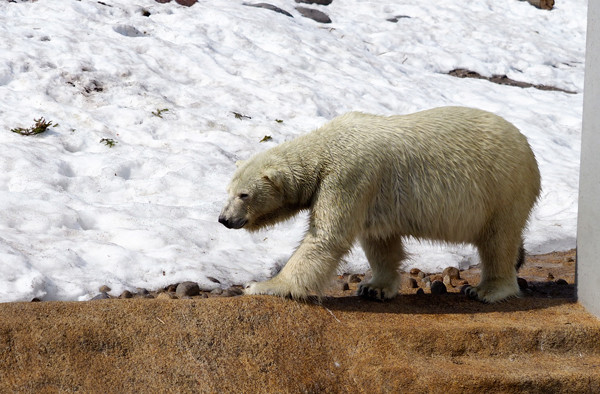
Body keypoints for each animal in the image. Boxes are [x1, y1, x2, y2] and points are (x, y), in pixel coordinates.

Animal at [218, 106, 540, 304]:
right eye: (228, 191)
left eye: (244, 195)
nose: (224, 219)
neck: (325, 147)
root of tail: (528, 149)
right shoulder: (374, 194)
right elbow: (380, 239)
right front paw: (374, 287)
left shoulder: (347, 177)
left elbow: (326, 238)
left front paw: (262, 286)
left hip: (501, 188)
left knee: (498, 240)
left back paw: (486, 290)